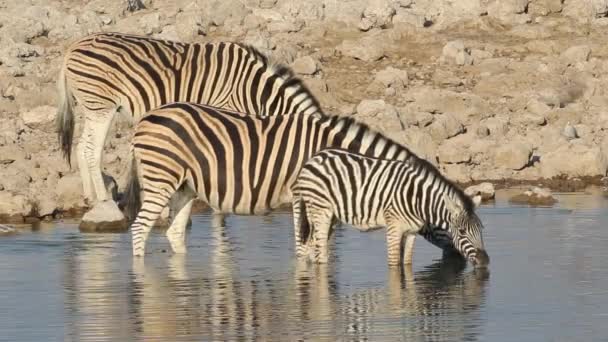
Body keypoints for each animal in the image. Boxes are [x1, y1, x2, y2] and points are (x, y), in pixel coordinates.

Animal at [57, 32, 324, 211]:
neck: (253, 90)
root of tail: (72, 46)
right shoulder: (224, 111)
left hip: (92, 107)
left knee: (81, 147)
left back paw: (90, 197)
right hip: (101, 106)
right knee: (91, 150)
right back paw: (104, 198)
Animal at [122, 101, 460, 256]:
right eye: (445, 221)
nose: (457, 264)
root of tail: (147, 117)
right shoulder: (303, 193)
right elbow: (303, 241)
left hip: (185, 186)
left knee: (174, 232)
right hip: (160, 179)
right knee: (139, 228)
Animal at [290, 148, 490, 268]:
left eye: (481, 230)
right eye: (462, 232)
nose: (485, 261)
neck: (417, 199)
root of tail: (312, 158)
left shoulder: (411, 231)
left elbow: (406, 263)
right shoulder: (394, 227)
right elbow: (394, 265)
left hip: (330, 216)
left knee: (311, 247)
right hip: (320, 210)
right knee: (320, 252)